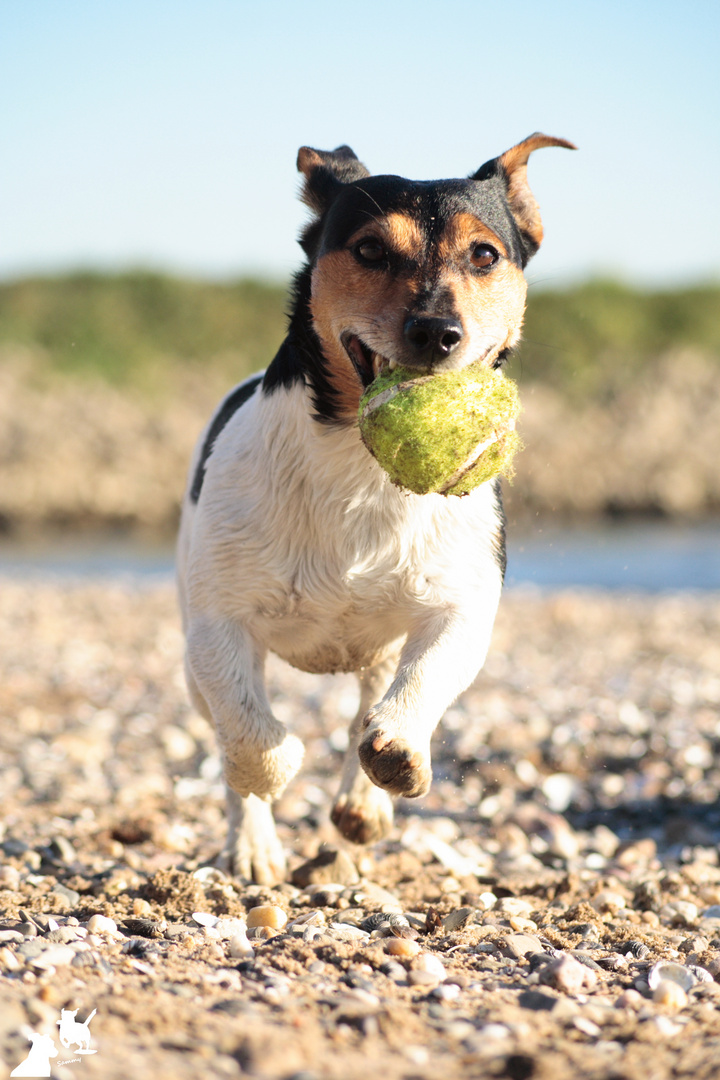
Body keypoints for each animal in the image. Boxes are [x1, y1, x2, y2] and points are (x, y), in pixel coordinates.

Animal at [177, 130, 578, 881]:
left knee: (370, 702)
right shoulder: (217, 625)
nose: (436, 332)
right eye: (368, 251)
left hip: (381, 643)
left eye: (485, 255)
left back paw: (363, 802)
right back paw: (253, 846)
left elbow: (418, 684)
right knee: (226, 736)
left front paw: (394, 758)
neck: (364, 472)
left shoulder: (461, 607)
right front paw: (276, 772)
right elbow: (246, 736)